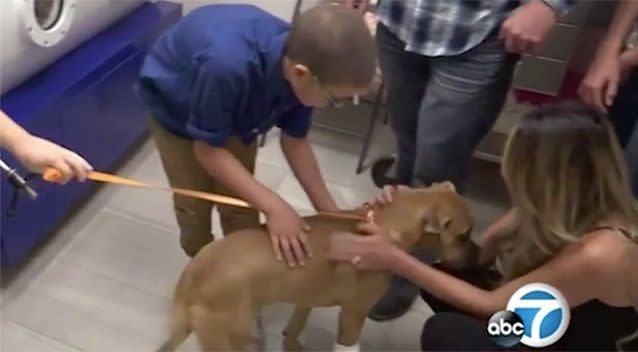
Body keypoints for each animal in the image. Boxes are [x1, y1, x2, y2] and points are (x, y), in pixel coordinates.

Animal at [155, 183, 476, 350]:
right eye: (464, 235)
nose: (478, 257)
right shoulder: (353, 316)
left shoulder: (305, 298)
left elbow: (296, 327)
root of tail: (192, 277)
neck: (383, 223)